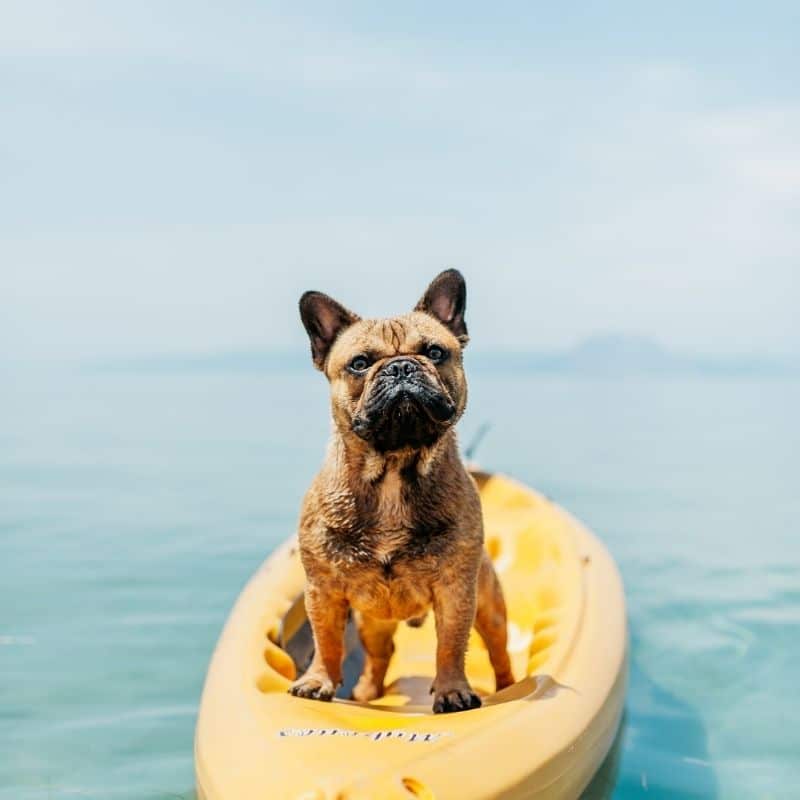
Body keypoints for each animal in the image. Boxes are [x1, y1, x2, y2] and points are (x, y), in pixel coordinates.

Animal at [290, 268, 512, 712]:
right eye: (359, 364)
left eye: (435, 352)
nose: (401, 368)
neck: (394, 466)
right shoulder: (323, 590)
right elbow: (326, 642)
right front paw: (318, 681)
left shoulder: (455, 591)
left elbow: (450, 645)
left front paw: (452, 690)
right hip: (372, 622)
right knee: (379, 657)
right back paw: (366, 694)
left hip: (490, 607)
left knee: (499, 653)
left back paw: (510, 686)